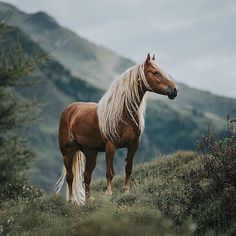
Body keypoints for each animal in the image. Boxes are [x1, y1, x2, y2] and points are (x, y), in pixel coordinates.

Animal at [54, 53, 177, 205]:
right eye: (156, 72)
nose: (175, 90)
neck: (123, 114)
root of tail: (69, 110)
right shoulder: (111, 146)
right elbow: (109, 172)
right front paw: (109, 193)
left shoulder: (133, 145)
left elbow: (128, 168)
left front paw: (126, 190)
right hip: (68, 152)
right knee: (70, 176)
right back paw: (71, 201)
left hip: (91, 153)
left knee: (87, 176)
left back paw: (88, 200)